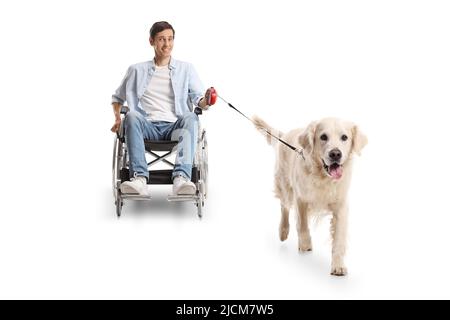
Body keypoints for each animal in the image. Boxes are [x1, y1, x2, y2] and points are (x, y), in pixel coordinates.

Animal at [253, 115, 366, 276]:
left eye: (344, 137)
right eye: (323, 137)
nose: (335, 154)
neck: (323, 177)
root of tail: (285, 135)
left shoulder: (341, 206)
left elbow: (339, 239)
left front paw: (338, 266)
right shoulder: (301, 198)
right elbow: (303, 225)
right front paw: (306, 245)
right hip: (285, 185)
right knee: (284, 207)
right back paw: (283, 230)